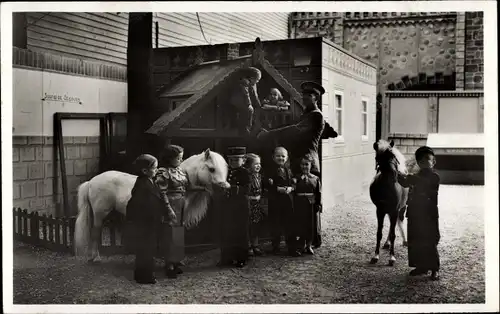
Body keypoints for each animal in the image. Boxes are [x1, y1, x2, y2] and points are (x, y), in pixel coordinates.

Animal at [73, 148, 229, 262]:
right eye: (212, 169)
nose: (225, 187)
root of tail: (91, 181)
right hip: (100, 214)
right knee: (95, 233)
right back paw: (96, 257)